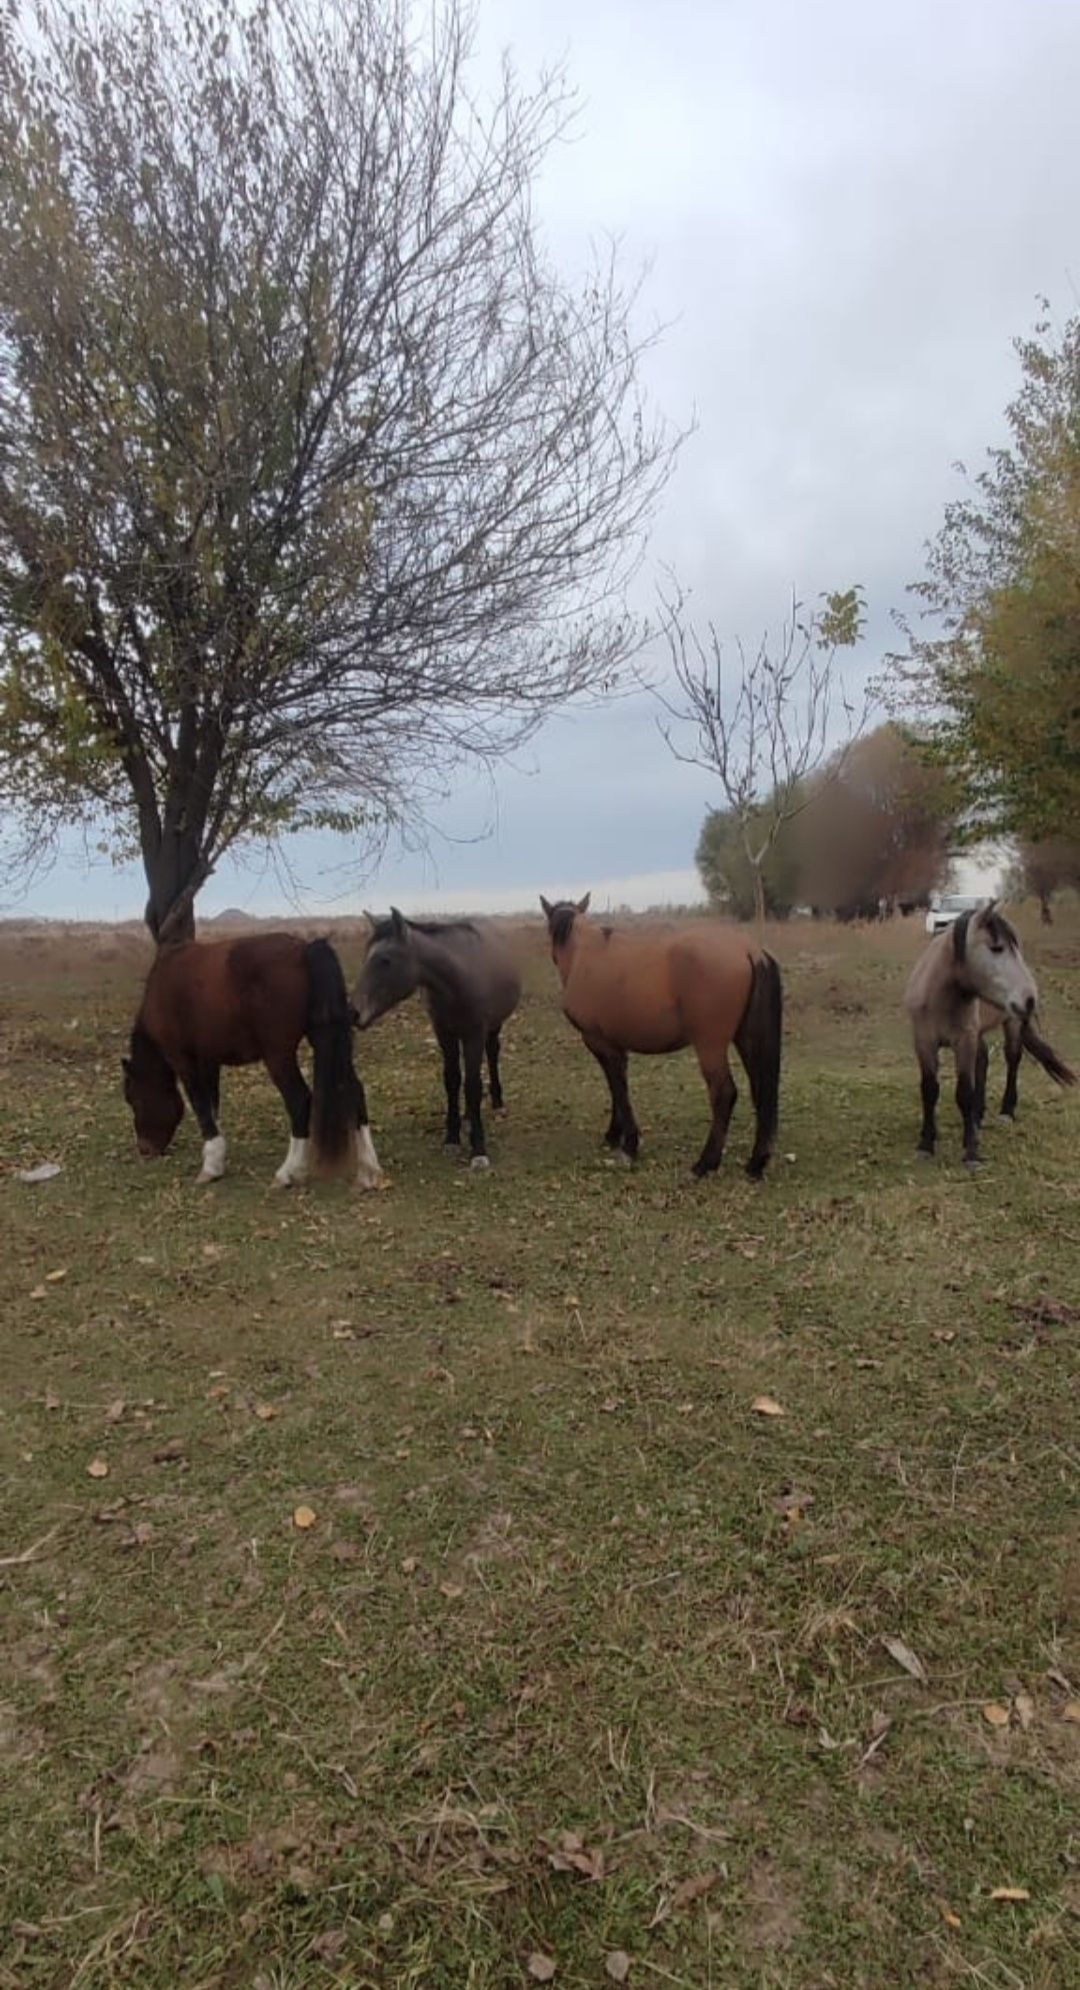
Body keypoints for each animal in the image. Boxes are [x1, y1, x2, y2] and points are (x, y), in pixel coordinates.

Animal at [123, 927, 381, 1186]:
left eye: (134, 1099)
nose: (145, 1149)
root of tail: (304, 949)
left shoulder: (184, 1060)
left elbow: (201, 1106)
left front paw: (210, 1167)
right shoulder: (209, 1060)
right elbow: (212, 1106)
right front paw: (217, 1159)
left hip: (278, 1056)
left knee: (299, 1101)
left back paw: (287, 1172)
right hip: (323, 1039)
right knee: (354, 1091)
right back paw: (368, 1170)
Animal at [352, 911, 521, 1170]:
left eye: (385, 960)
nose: (354, 1012)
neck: (457, 978)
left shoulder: (474, 1034)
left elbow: (472, 1086)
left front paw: (478, 1150)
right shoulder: (444, 1033)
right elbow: (452, 1081)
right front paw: (452, 1139)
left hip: (493, 1027)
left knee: (492, 1054)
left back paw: (497, 1104)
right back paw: (468, 1115)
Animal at [544, 903, 783, 1178]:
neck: (584, 954)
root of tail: (749, 950)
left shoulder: (598, 1042)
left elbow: (618, 1088)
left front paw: (629, 1145)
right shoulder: (616, 1046)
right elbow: (617, 1086)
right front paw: (615, 1135)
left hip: (710, 1046)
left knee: (724, 1094)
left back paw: (705, 1163)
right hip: (747, 1039)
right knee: (760, 1090)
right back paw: (756, 1163)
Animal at [902, 903, 1074, 1162]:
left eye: (1014, 949)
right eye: (996, 948)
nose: (1030, 999)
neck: (940, 997)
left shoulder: (964, 1041)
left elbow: (964, 1092)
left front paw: (971, 1152)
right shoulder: (924, 1042)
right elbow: (929, 1089)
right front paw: (926, 1143)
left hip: (1011, 1023)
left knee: (1012, 1059)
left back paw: (1006, 1111)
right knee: (982, 1061)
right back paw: (978, 1116)